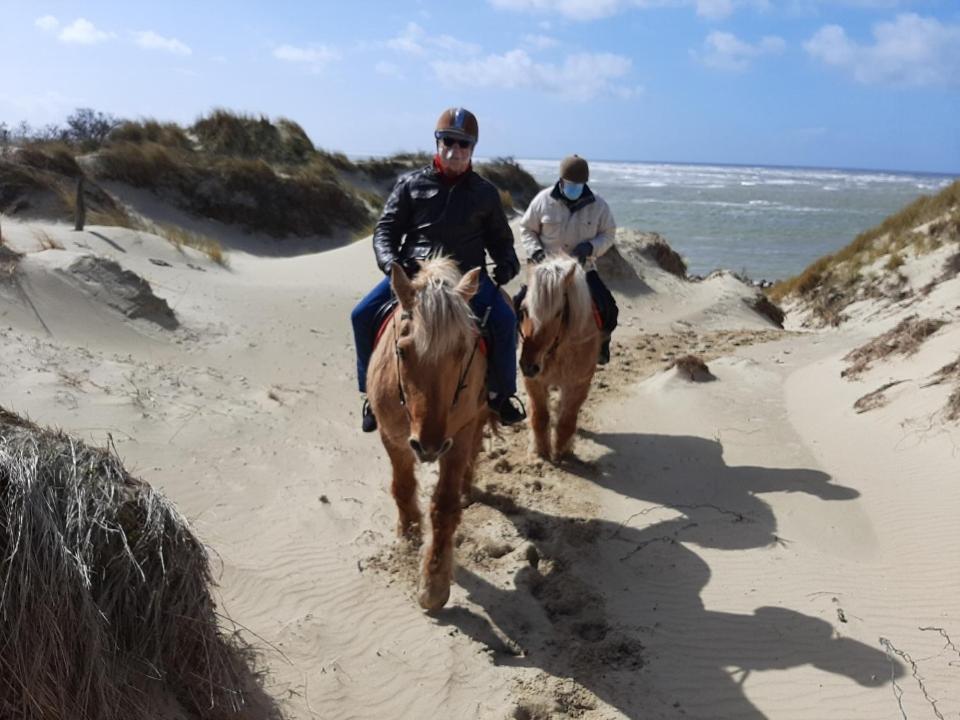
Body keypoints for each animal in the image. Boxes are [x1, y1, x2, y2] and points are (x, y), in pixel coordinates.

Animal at [366, 258, 488, 608]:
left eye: (462, 351)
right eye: (403, 351)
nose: (429, 446)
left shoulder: (457, 438)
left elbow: (444, 506)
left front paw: (434, 583)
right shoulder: (392, 436)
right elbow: (402, 486)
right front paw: (408, 534)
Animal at [516, 258, 600, 462]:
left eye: (558, 313)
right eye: (524, 309)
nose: (528, 366)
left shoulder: (578, 385)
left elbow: (566, 421)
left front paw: (562, 452)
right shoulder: (534, 382)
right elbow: (540, 417)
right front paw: (540, 451)